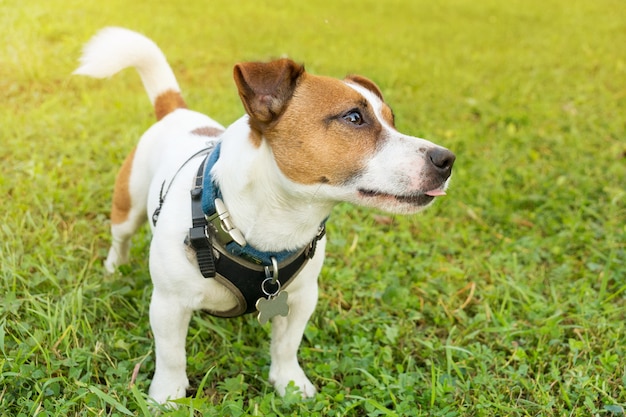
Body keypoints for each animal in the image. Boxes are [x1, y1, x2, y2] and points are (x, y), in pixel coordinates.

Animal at [74, 26, 454, 404]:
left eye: (392, 120)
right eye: (353, 118)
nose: (447, 160)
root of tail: (176, 111)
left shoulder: (300, 299)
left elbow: (286, 346)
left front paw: (289, 383)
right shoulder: (169, 305)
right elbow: (171, 355)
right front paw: (167, 394)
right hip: (128, 207)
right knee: (121, 238)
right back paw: (114, 269)